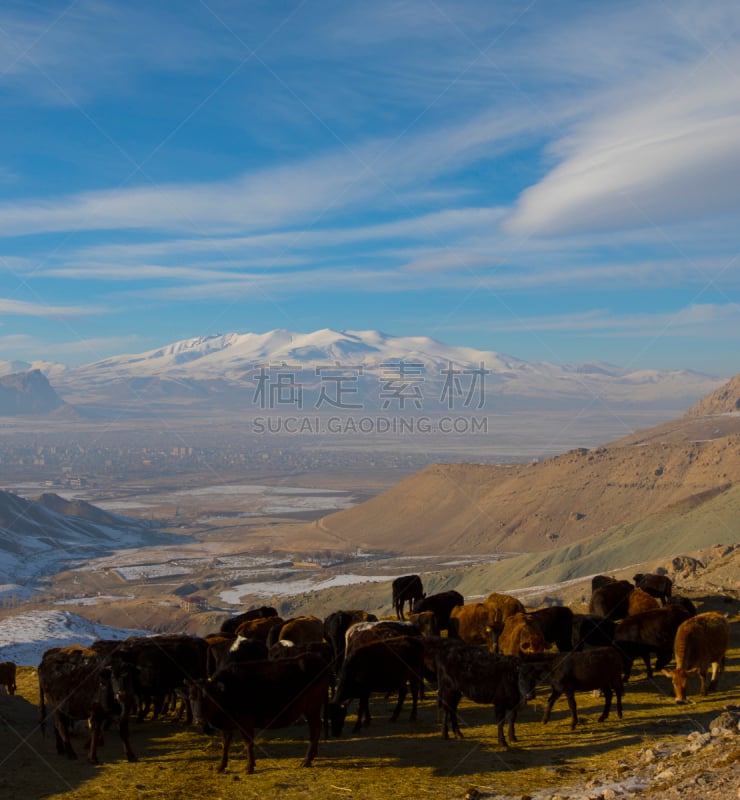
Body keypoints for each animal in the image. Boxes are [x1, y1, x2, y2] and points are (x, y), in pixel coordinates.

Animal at [188, 648, 330, 776]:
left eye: (209, 698)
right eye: (191, 697)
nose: (199, 720)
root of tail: (318, 659)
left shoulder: (245, 722)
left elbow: (248, 743)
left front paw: (249, 767)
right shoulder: (227, 726)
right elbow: (225, 744)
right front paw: (221, 766)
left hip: (312, 707)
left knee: (315, 729)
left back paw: (307, 760)